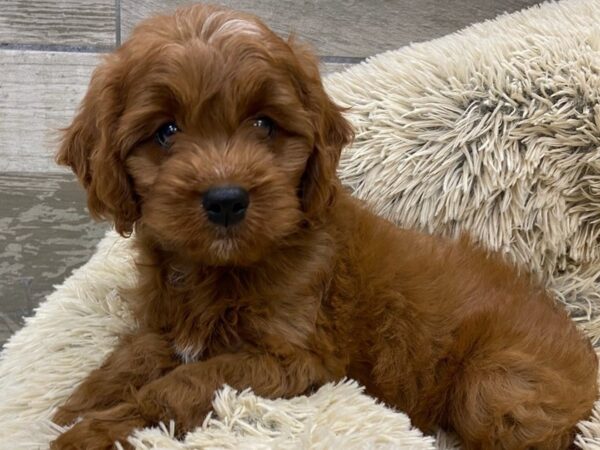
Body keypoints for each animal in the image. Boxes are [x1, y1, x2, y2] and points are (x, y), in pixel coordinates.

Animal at [51, 4, 596, 450]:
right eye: (166, 131)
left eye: (264, 124)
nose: (226, 200)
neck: (216, 268)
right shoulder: (167, 324)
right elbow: (136, 352)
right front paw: (79, 402)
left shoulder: (289, 360)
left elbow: (183, 387)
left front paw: (95, 430)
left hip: (496, 384)